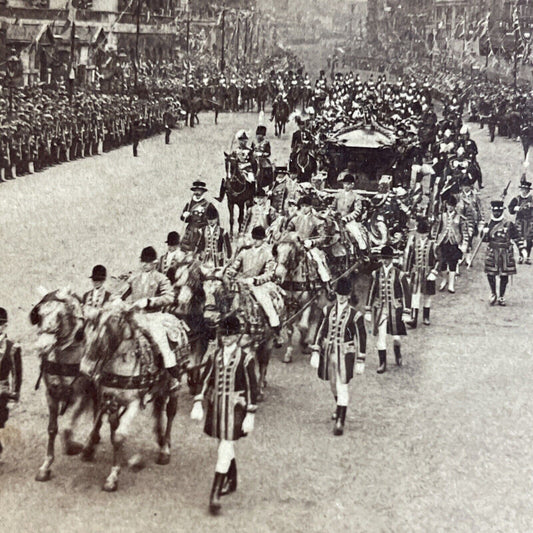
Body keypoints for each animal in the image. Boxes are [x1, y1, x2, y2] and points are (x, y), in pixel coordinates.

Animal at [29, 288, 100, 480]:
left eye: (61, 315)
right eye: (39, 314)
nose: (43, 346)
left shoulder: (81, 393)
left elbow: (70, 423)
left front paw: (72, 446)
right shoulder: (51, 393)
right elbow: (52, 429)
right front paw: (46, 466)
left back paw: (90, 446)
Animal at [80, 304, 192, 490]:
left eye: (105, 338)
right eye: (85, 335)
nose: (85, 369)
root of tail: (175, 319)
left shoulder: (134, 403)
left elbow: (119, 435)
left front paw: (113, 477)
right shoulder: (111, 399)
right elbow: (113, 431)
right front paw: (118, 463)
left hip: (174, 384)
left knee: (170, 413)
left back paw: (165, 450)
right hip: (159, 388)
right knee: (159, 409)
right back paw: (160, 439)